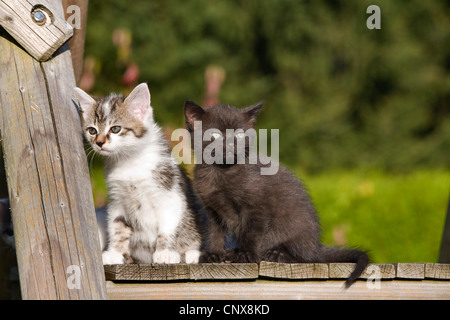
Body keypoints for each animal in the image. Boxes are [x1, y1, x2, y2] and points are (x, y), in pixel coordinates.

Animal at [74, 83, 204, 264]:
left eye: (115, 129)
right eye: (92, 131)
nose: (99, 143)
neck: (129, 161)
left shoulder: (169, 194)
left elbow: (167, 225)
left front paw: (164, 252)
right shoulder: (117, 199)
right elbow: (117, 225)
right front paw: (115, 252)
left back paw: (191, 254)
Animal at [184, 100, 370, 288]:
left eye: (240, 135)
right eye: (214, 134)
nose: (230, 144)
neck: (220, 172)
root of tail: (316, 245)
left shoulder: (257, 207)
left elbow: (252, 232)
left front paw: (245, 254)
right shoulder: (212, 210)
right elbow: (214, 232)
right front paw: (213, 254)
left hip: (297, 227)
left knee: (309, 257)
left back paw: (277, 253)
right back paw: (231, 253)